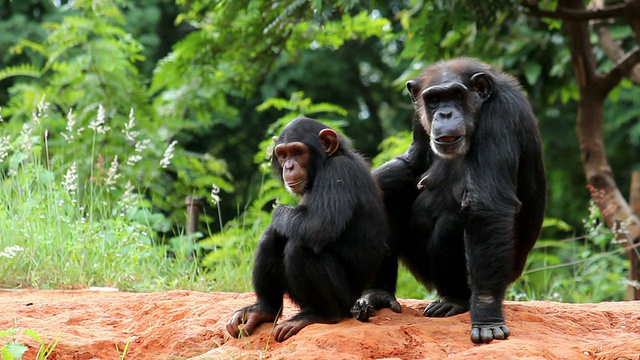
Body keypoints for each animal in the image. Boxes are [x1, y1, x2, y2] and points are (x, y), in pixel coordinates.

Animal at [228, 116, 388, 342]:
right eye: (283, 154)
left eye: (297, 152)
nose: (289, 166)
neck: (325, 163)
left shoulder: (337, 173)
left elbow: (318, 226)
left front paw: (278, 212)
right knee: (272, 237)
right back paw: (264, 310)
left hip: (344, 299)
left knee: (298, 245)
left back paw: (321, 314)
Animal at [352, 58, 548, 344]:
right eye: (434, 99)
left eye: (456, 95)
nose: (444, 114)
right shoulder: (418, 118)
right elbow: (413, 163)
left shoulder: (501, 115)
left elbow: (486, 206)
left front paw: (487, 316)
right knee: (389, 197)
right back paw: (377, 292)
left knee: (451, 224)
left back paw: (455, 300)